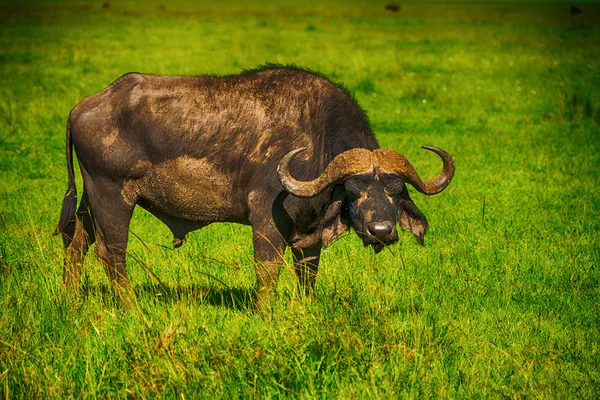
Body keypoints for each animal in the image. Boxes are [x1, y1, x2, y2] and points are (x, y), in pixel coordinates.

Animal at [58, 65, 454, 310]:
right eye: (354, 191)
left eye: (396, 192)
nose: (381, 231)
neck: (316, 142)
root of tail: (82, 108)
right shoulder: (266, 220)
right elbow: (267, 270)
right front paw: (265, 314)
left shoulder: (309, 231)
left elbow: (308, 270)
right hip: (112, 196)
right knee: (112, 254)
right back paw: (130, 307)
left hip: (90, 201)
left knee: (76, 243)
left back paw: (72, 298)